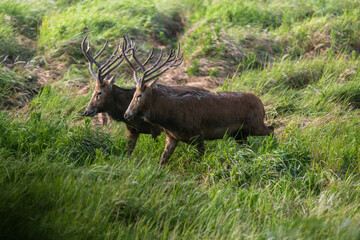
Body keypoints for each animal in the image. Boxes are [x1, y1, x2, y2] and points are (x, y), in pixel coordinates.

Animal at [79, 35, 208, 154]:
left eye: (99, 92)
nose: (86, 111)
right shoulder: (132, 130)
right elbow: (127, 152)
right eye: (93, 91)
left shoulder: (156, 129)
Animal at [121, 38, 272, 165]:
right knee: (248, 145)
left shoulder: (198, 134)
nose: (126, 114)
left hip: (255, 124)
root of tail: (261, 104)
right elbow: (163, 160)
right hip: (239, 134)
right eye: (133, 94)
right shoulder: (172, 137)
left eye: (139, 95)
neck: (170, 119)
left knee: (272, 129)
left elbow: (199, 159)